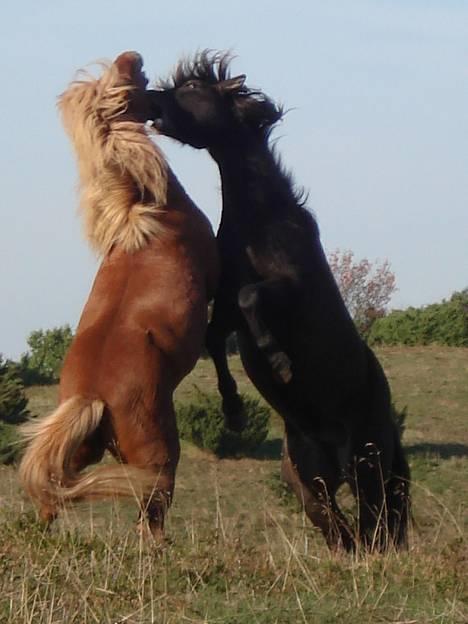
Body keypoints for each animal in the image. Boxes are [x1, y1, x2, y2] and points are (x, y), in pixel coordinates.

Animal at [19, 51, 220, 540]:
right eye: (137, 85)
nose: (134, 57)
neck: (142, 216)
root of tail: (92, 398)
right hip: (159, 458)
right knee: (151, 516)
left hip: (78, 455)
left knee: (52, 496)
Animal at [147, 53, 410, 552]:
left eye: (191, 87)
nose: (148, 99)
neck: (261, 221)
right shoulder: (224, 308)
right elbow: (214, 338)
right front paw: (232, 410)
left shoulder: (287, 289)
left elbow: (252, 297)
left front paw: (281, 363)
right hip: (309, 480)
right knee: (344, 530)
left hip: (366, 463)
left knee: (377, 525)